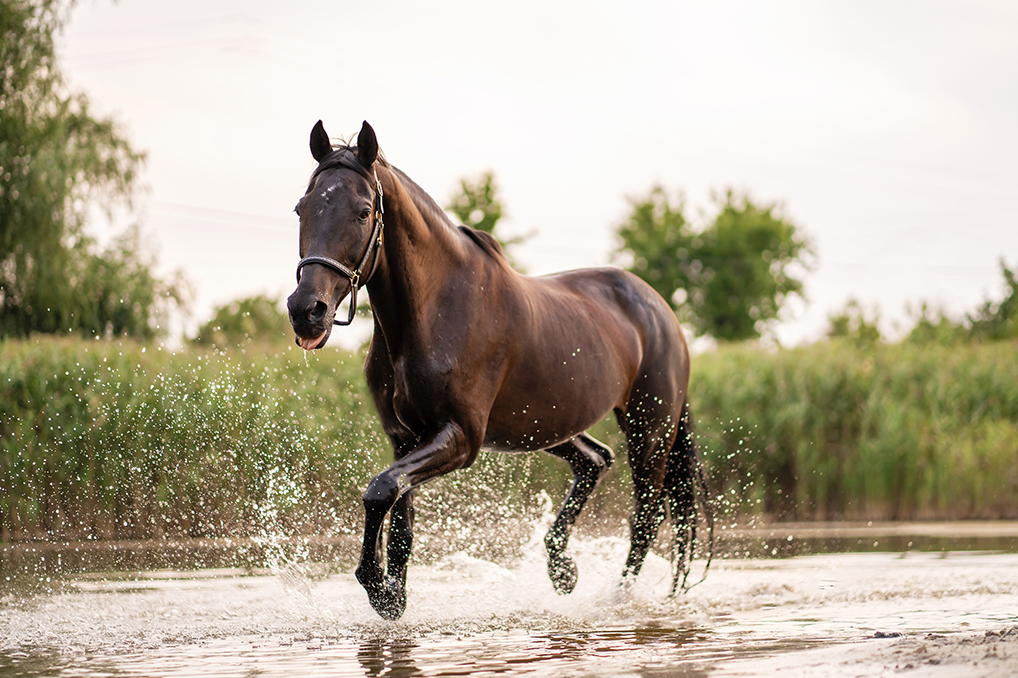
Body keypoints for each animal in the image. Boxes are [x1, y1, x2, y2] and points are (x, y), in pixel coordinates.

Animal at [286, 120, 713, 620]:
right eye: (302, 208)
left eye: (363, 211)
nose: (306, 311)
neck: (433, 313)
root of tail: (662, 310)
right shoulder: (405, 438)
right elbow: (397, 517)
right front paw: (392, 595)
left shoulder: (462, 437)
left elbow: (379, 491)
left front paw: (376, 585)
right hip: (542, 426)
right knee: (596, 461)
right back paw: (562, 571)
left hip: (650, 428)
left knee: (646, 515)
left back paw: (615, 599)